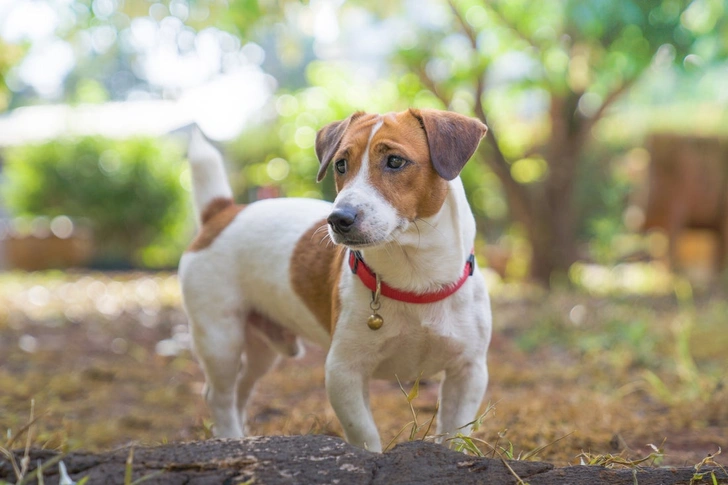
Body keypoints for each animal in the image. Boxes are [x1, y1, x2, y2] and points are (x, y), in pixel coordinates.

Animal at [178, 108, 492, 452]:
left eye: (395, 161)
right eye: (341, 164)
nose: (338, 219)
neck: (416, 280)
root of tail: (222, 213)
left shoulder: (468, 372)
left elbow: (455, 433)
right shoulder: (344, 372)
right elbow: (365, 434)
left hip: (262, 349)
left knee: (241, 389)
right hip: (220, 339)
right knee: (219, 396)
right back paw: (230, 437)